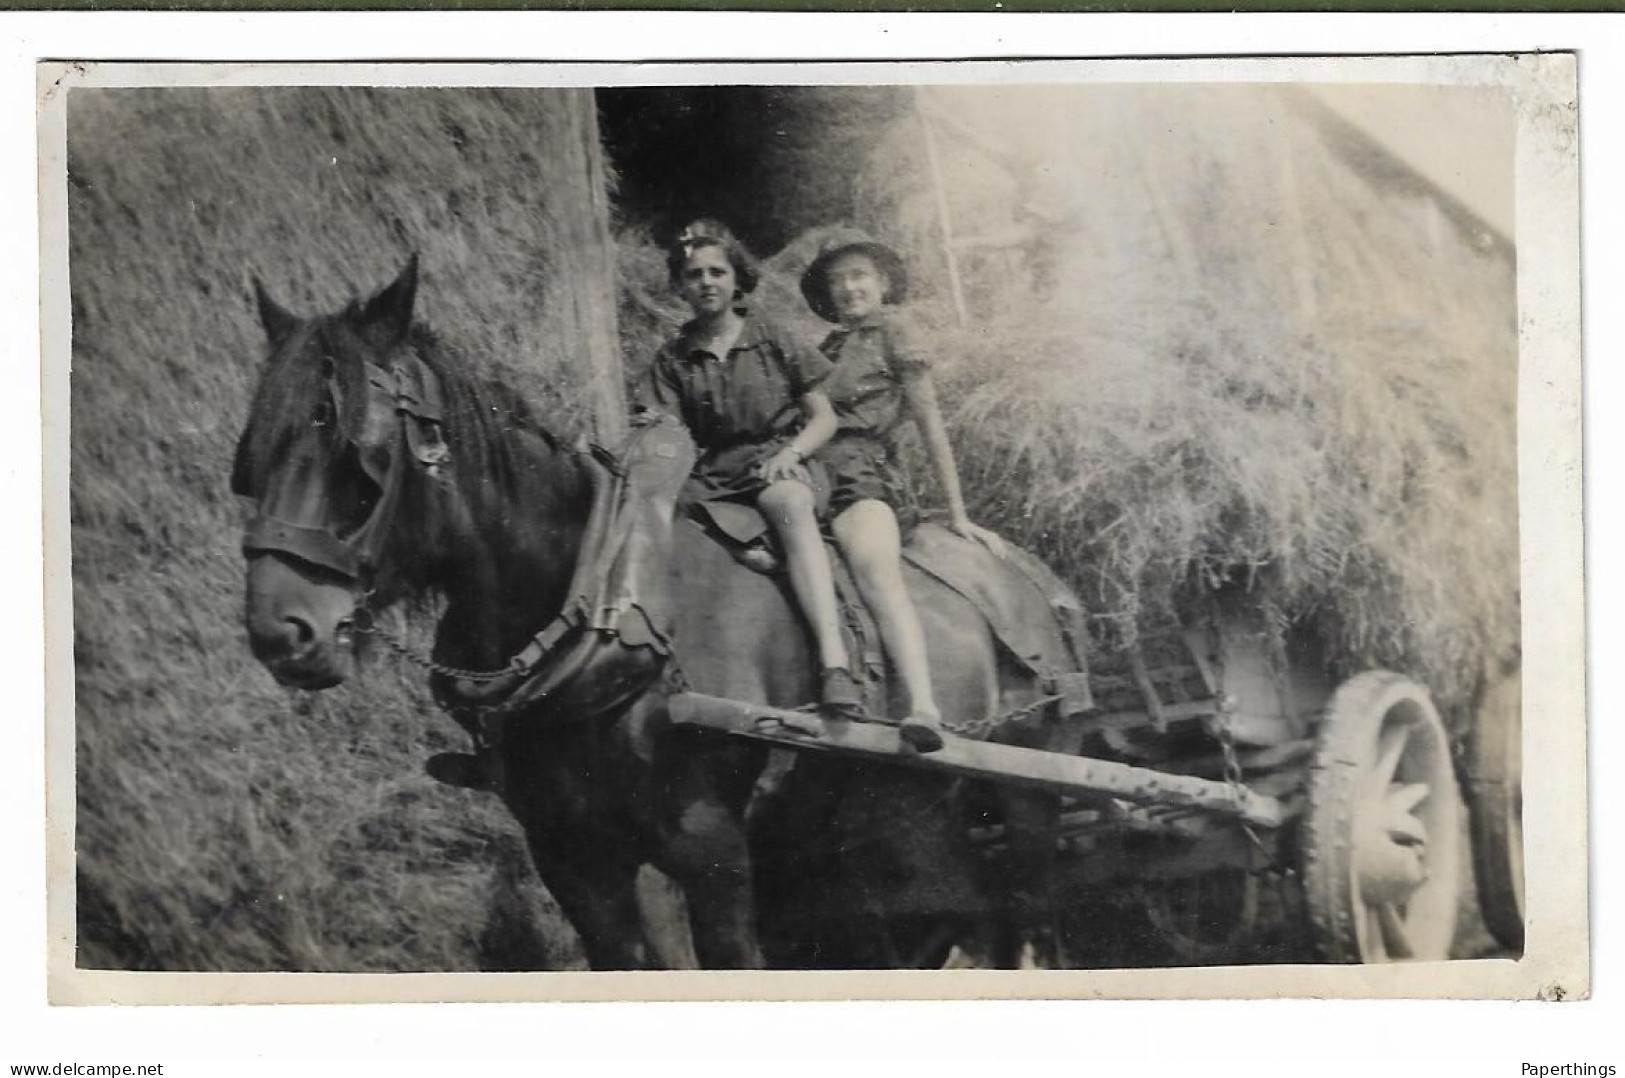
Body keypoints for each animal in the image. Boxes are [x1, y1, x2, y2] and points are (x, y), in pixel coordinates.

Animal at [237, 261, 1079, 969]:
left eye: (362, 463)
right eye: (252, 459)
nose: (281, 630)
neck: (609, 616)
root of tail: (1030, 574)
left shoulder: (712, 852)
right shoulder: (573, 861)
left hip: (1029, 788)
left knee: (1029, 909)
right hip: (902, 811)